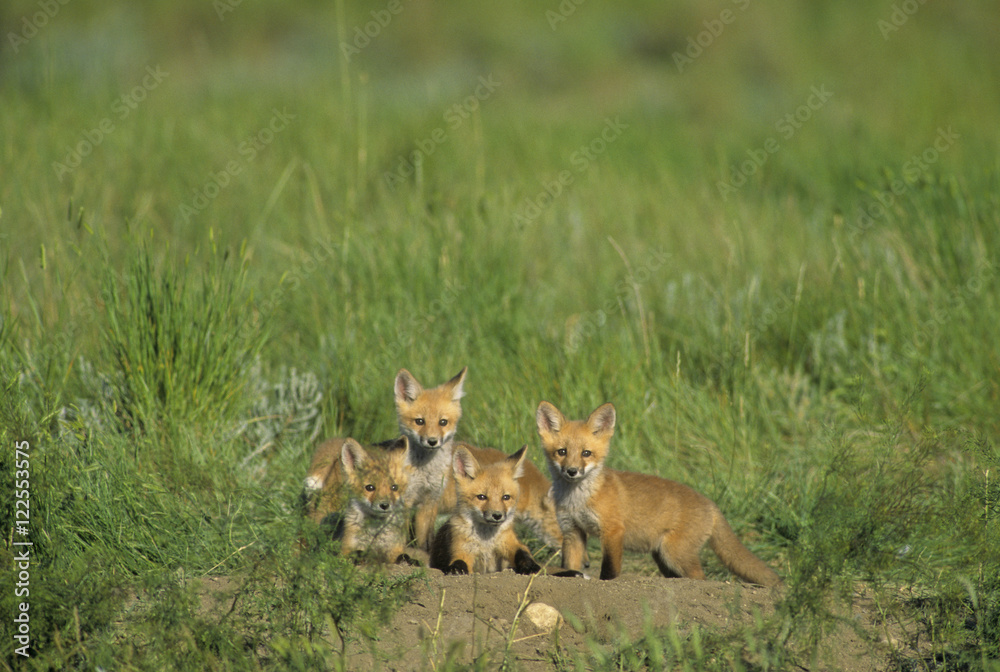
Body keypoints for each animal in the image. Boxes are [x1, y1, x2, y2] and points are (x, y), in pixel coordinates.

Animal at [430, 445, 542, 575]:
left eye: (506, 497)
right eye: (482, 497)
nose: (497, 515)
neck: (486, 543)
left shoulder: (509, 541)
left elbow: (522, 552)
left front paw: (530, 566)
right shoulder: (461, 549)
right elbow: (459, 561)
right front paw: (456, 568)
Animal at [536, 401, 781, 586]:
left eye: (586, 453)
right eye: (562, 452)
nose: (572, 471)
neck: (577, 501)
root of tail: (711, 504)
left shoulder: (613, 531)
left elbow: (609, 571)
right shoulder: (572, 531)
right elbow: (570, 566)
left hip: (675, 554)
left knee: (700, 578)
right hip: (664, 558)